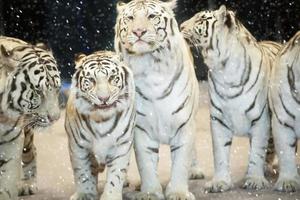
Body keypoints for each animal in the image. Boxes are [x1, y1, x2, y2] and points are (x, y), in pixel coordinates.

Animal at [65, 50, 136, 199]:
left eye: (112, 78)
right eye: (91, 80)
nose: (104, 98)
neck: (101, 120)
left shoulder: (122, 144)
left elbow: (116, 175)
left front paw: (111, 196)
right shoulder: (78, 146)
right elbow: (82, 172)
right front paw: (85, 194)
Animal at [115, 0, 202, 199]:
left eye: (151, 16)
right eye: (130, 18)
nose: (138, 31)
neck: (150, 66)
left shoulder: (184, 125)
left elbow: (181, 162)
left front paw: (178, 192)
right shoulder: (141, 129)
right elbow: (145, 163)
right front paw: (150, 192)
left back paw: (195, 171)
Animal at [180, 5, 282, 192]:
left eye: (200, 19)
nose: (181, 26)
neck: (225, 69)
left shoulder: (261, 119)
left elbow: (258, 150)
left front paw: (254, 180)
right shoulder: (218, 119)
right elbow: (220, 152)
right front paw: (220, 182)